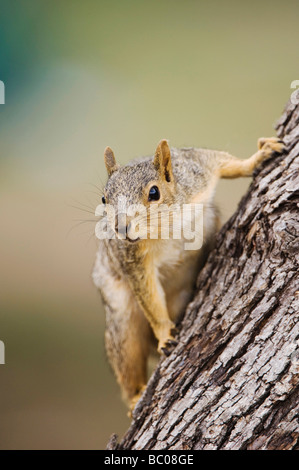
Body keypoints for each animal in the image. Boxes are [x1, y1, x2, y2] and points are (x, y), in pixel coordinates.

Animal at [92, 135, 284, 412]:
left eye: (154, 192)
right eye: (104, 199)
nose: (121, 228)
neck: (166, 226)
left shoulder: (196, 172)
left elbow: (224, 163)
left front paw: (259, 157)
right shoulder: (133, 259)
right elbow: (150, 297)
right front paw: (165, 336)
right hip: (122, 320)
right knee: (127, 360)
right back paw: (136, 397)